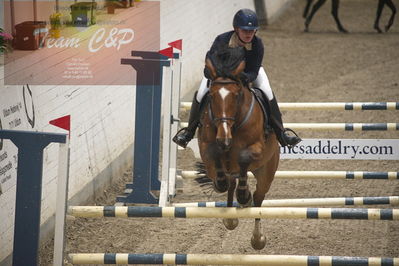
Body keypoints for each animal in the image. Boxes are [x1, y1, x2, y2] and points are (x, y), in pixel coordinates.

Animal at [198, 47, 280, 249]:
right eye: (211, 96)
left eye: (236, 96)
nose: (224, 139)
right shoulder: (206, 148)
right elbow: (214, 156)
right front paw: (222, 182)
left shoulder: (257, 148)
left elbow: (243, 157)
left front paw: (244, 195)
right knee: (232, 184)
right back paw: (231, 218)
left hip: (267, 170)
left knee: (258, 199)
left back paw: (257, 238)